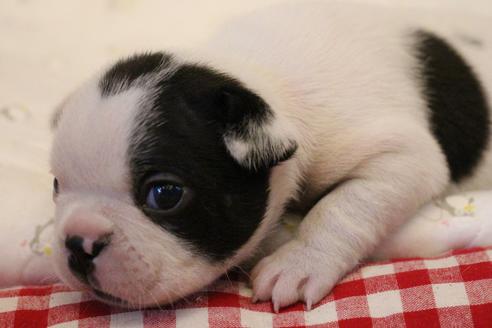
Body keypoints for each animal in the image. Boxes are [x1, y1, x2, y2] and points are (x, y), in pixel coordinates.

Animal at [47, 1, 492, 310]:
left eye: (164, 194)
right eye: (56, 186)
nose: (78, 242)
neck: (258, 74)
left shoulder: (402, 155)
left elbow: (341, 207)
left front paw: (299, 262)